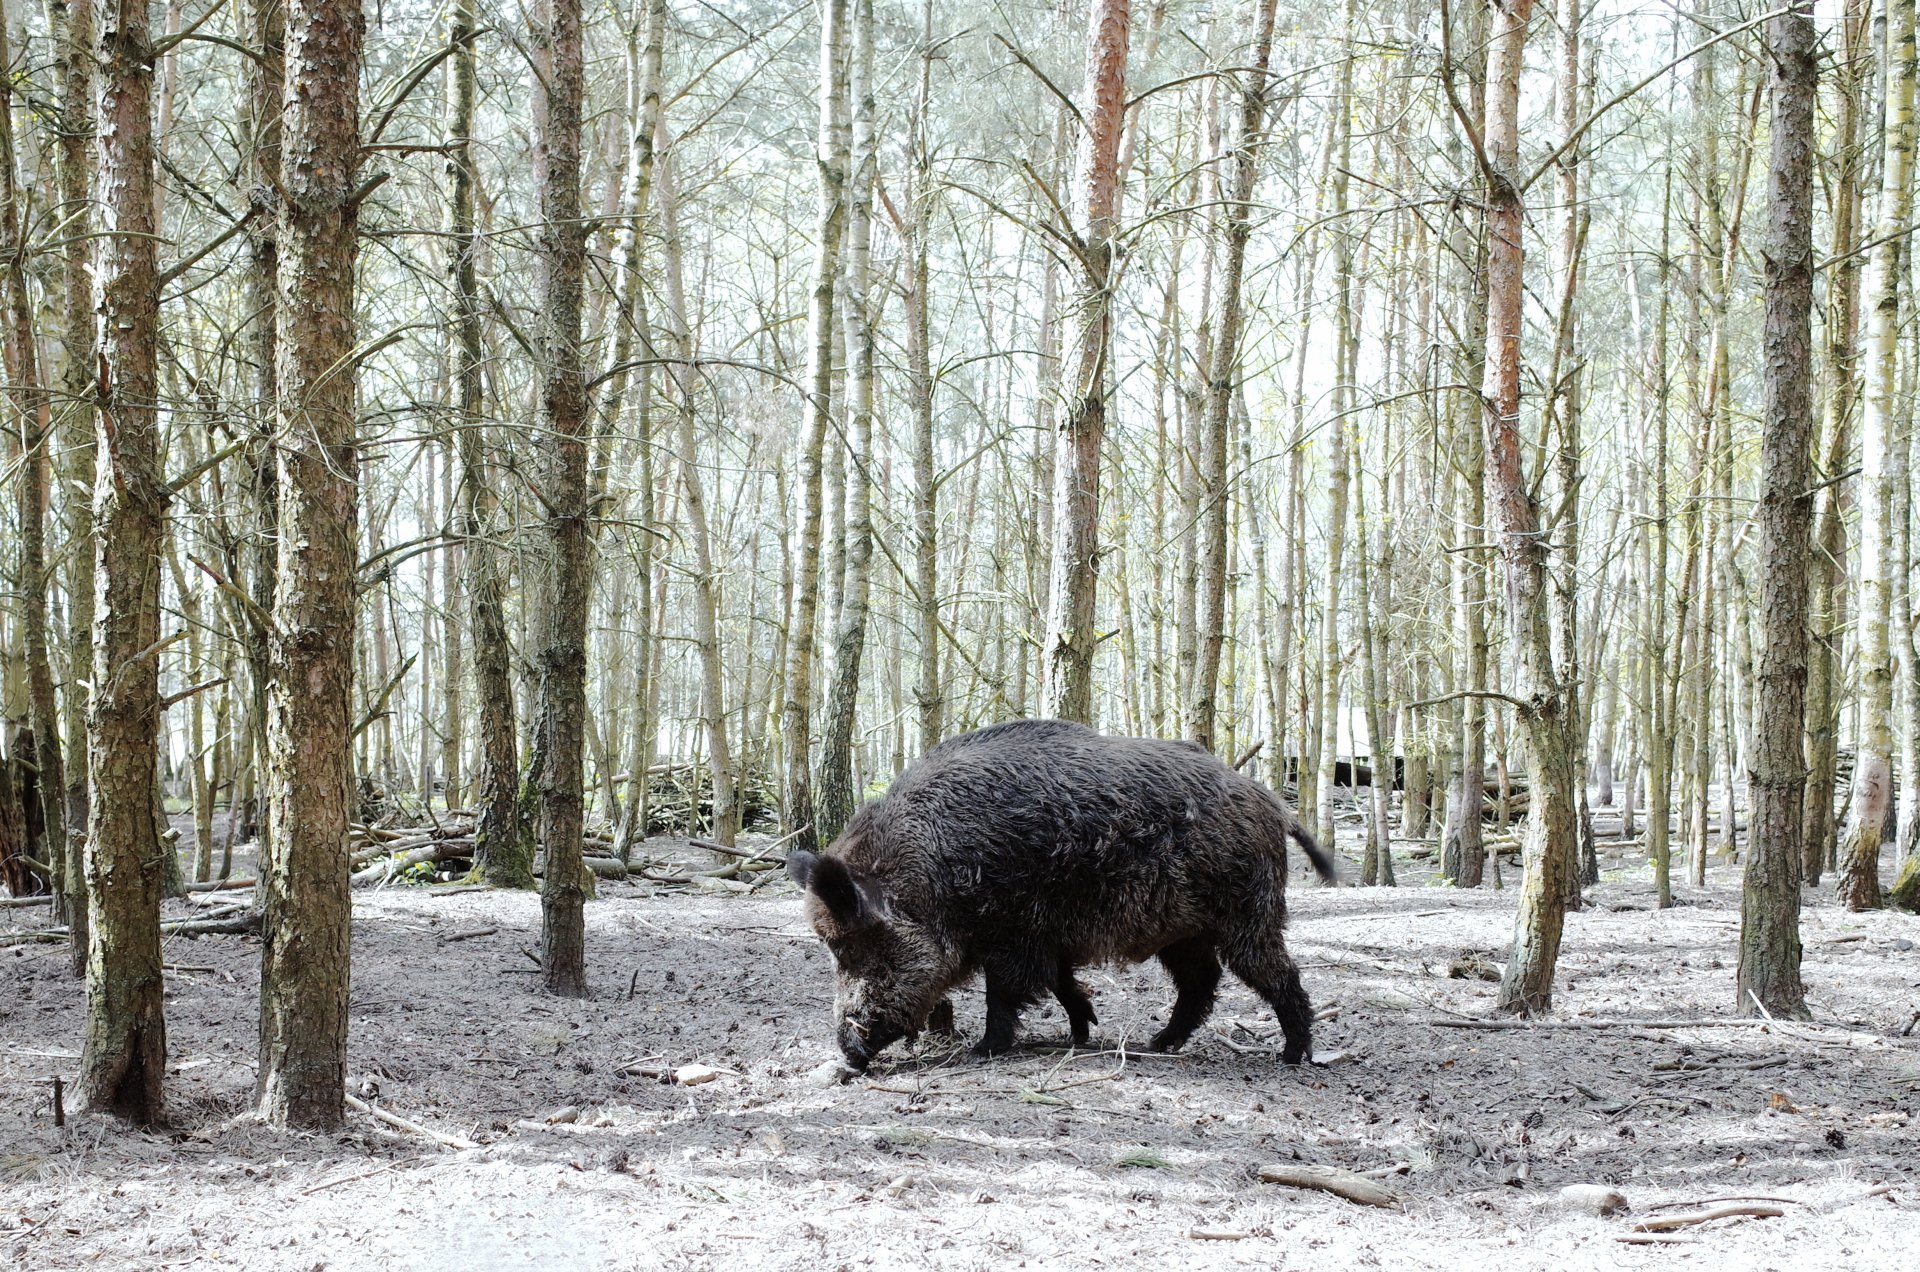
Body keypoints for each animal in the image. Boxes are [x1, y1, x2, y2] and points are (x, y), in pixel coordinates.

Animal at [787, 718, 1337, 1071]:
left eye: (853, 947)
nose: (848, 1054)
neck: (928, 878)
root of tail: (1271, 802)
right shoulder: (1047, 939)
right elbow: (1061, 983)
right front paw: (1081, 1032)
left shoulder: (1013, 935)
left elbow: (1006, 994)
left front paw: (983, 1050)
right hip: (1185, 932)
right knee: (1200, 983)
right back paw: (1158, 1043)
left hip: (1247, 914)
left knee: (1278, 975)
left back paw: (1293, 1056)